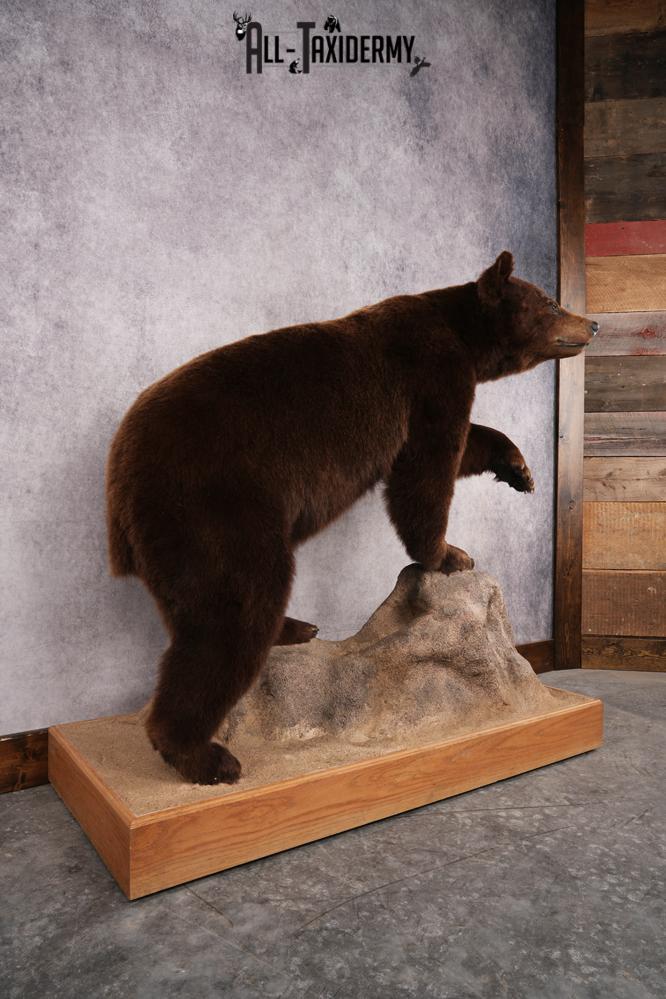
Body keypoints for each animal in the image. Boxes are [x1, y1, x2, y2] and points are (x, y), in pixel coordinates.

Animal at [106, 251, 598, 785]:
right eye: (551, 301)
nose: (592, 322)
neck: (464, 336)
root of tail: (118, 477)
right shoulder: (432, 376)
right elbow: (428, 464)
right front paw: (449, 553)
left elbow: (466, 440)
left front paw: (518, 469)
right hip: (213, 507)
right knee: (234, 606)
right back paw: (205, 756)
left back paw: (295, 630)